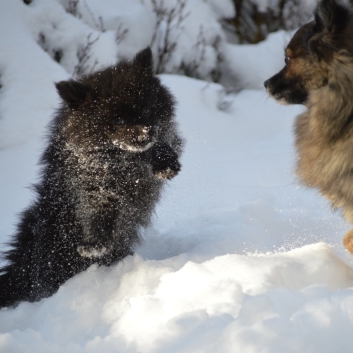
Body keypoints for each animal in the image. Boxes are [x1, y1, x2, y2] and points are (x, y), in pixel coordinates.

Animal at [0, 48, 183, 306]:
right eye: (118, 120)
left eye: (147, 110)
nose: (142, 136)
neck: (122, 160)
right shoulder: (94, 188)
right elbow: (98, 216)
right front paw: (95, 244)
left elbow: (161, 146)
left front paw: (165, 162)